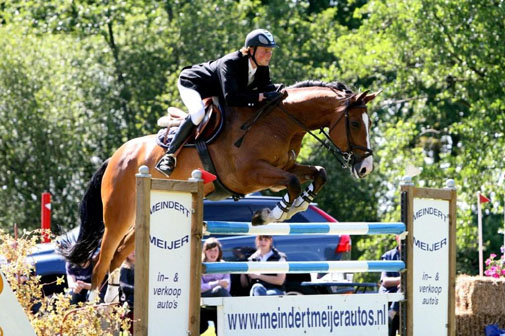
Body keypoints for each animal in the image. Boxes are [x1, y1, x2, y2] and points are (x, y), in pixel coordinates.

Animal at [59, 80, 376, 296]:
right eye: (356, 124)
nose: (365, 168)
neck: (280, 123)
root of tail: (116, 156)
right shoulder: (250, 175)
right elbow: (294, 182)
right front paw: (272, 214)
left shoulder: (282, 167)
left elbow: (316, 174)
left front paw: (297, 204)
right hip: (118, 217)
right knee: (101, 260)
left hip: (140, 220)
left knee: (118, 256)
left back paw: (112, 305)